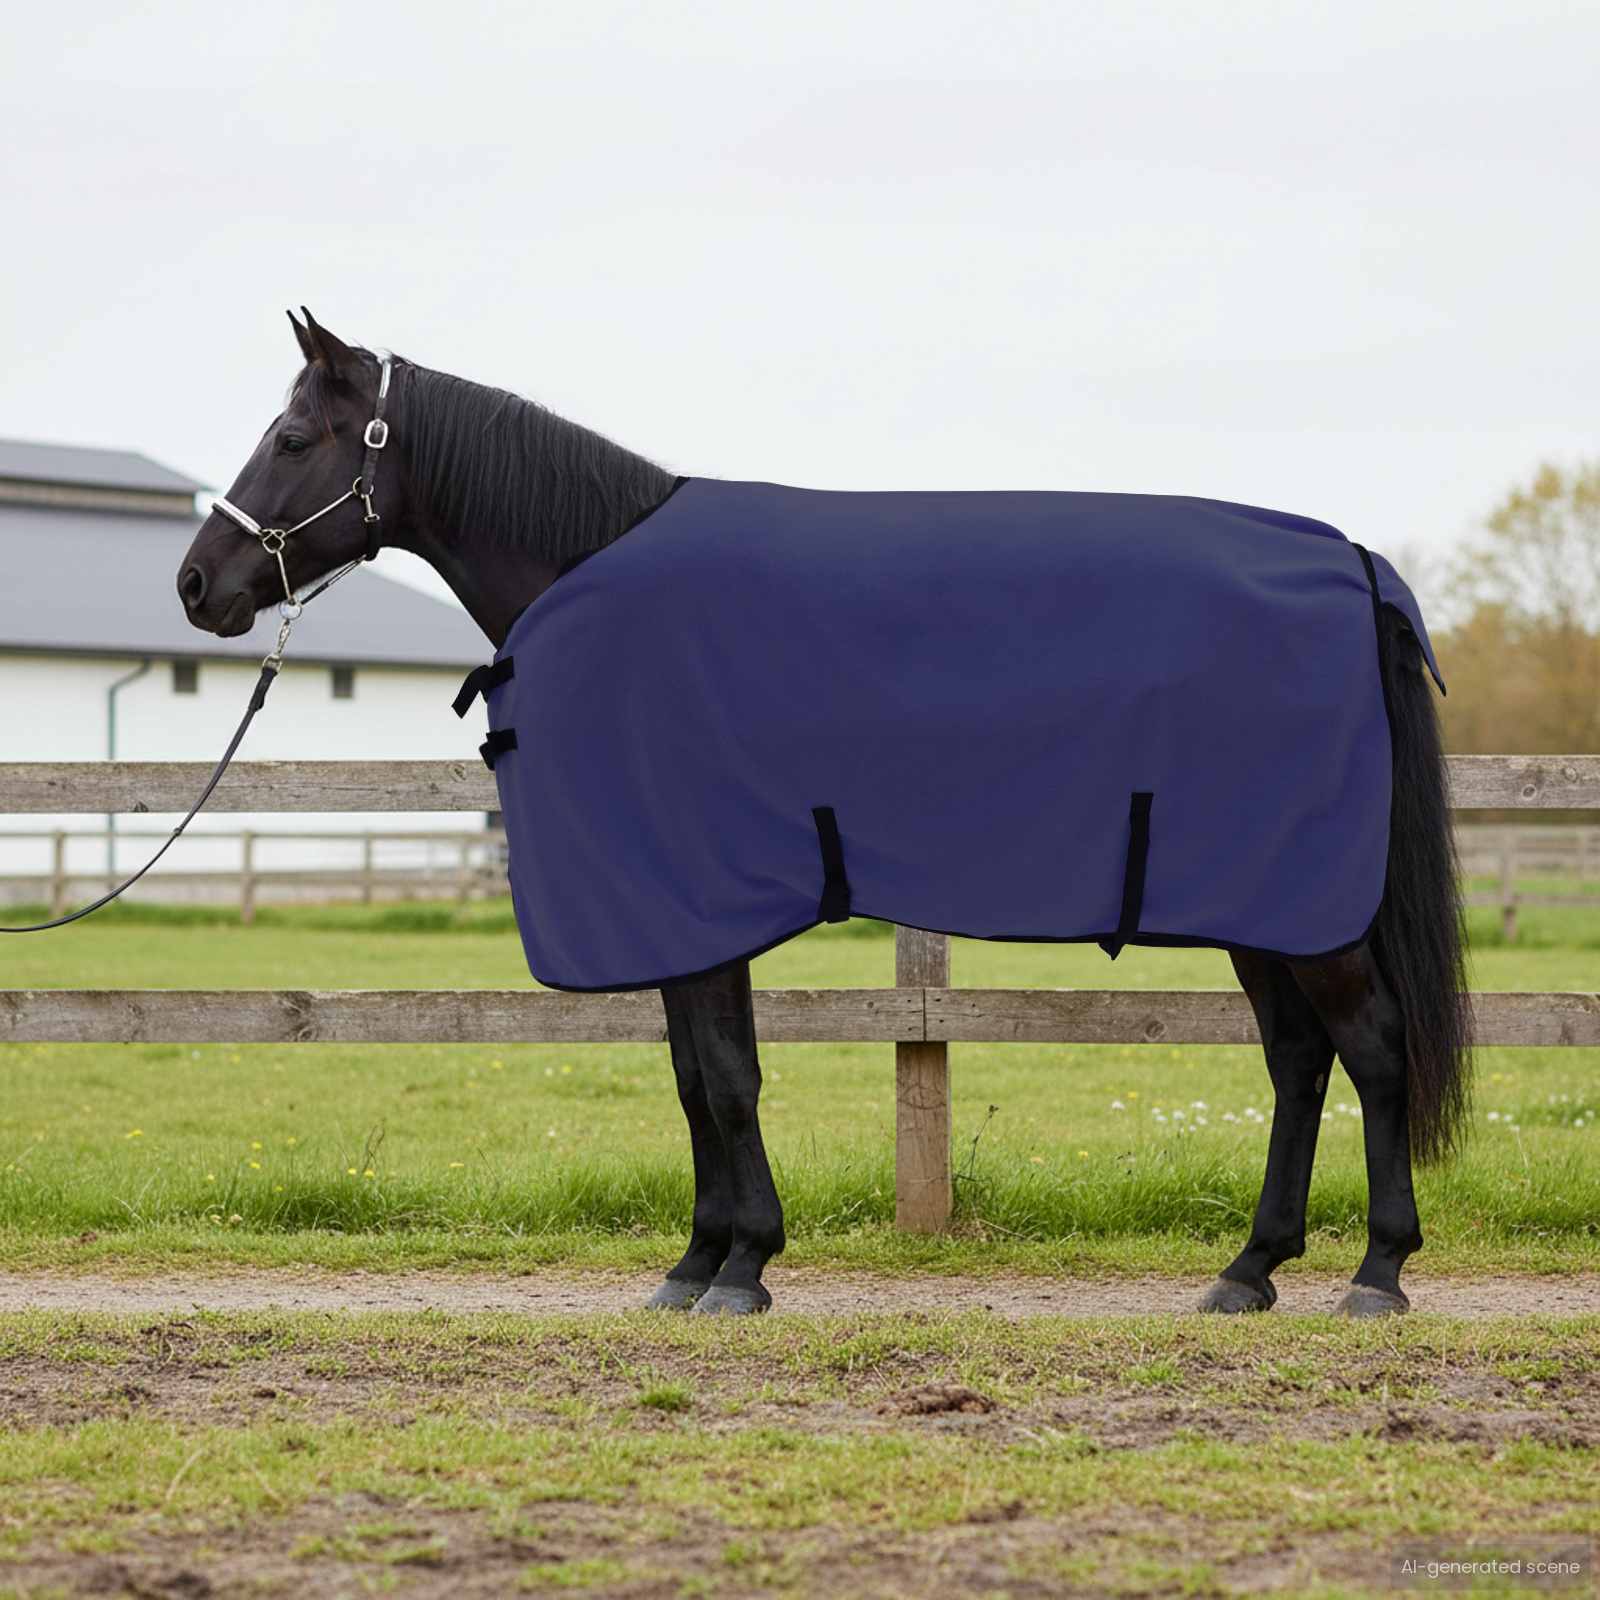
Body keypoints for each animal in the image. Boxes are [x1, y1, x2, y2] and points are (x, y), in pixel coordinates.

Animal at [176, 309, 1471, 1318]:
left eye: (291, 438)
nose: (197, 584)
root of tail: (1351, 565)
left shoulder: (698, 899)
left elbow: (725, 1077)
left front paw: (741, 1265)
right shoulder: (684, 913)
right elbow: (697, 1075)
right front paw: (700, 1260)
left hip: (1303, 903)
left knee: (1371, 1047)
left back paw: (1376, 1272)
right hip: (1260, 902)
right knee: (1298, 1059)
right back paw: (1249, 1269)